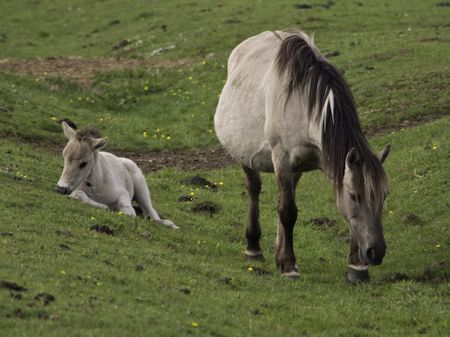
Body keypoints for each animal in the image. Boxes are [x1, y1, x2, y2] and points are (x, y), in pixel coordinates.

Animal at [214, 30, 390, 280]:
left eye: (384, 195)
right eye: (354, 195)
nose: (376, 252)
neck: (304, 104)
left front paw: (356, 268)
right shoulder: (282, 160)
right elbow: (288, 212)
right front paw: (289, 266)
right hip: (246, 155)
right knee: (254, 189)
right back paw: (253, 248)